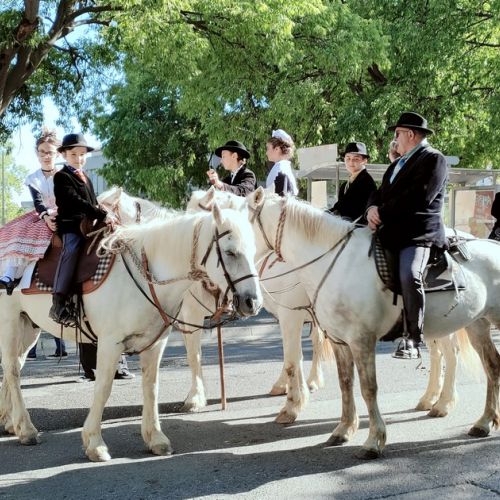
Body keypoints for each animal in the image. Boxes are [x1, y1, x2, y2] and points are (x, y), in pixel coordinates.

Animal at [0, 201, 264, 458]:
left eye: (253, 251)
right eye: (230, 252)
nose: (253, 302)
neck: (144, 275)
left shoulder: (156, 343)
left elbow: (151, 386)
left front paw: (155, 438)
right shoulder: (110, 343)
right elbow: (103, 387)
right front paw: (94, 443)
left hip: (29, 327)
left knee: (14, 367)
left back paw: (11, 422)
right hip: (9, 322)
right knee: (12, 370)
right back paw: (26, 429)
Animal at [247, 189, 500, 458]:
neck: (334, 264)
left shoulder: (358, 339)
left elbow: (367, 387)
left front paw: (373, 440)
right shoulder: (339, 340)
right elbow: (345, 383)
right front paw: (343, 430)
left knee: (454, 357)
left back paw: (445, 405)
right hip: (474, 323)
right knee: (490, 364)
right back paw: (479, 419)